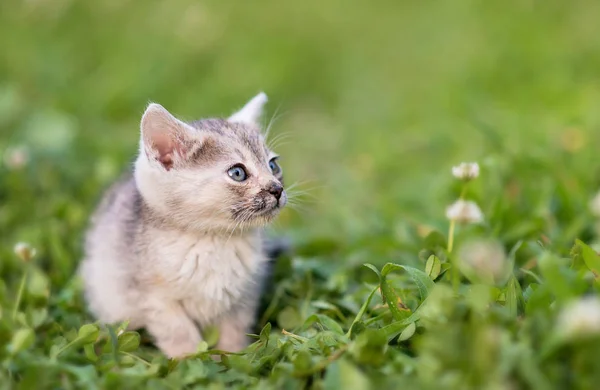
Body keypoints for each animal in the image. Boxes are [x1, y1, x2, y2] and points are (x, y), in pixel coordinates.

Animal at [79, 93, 286, 358]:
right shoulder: (154, 299)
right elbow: (180, 333)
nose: (277, 189)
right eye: (238, 173)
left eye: (273, 166)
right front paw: (190, 359)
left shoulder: (244, 297)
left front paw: (231, 356)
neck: (214, 242)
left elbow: (234, 331)